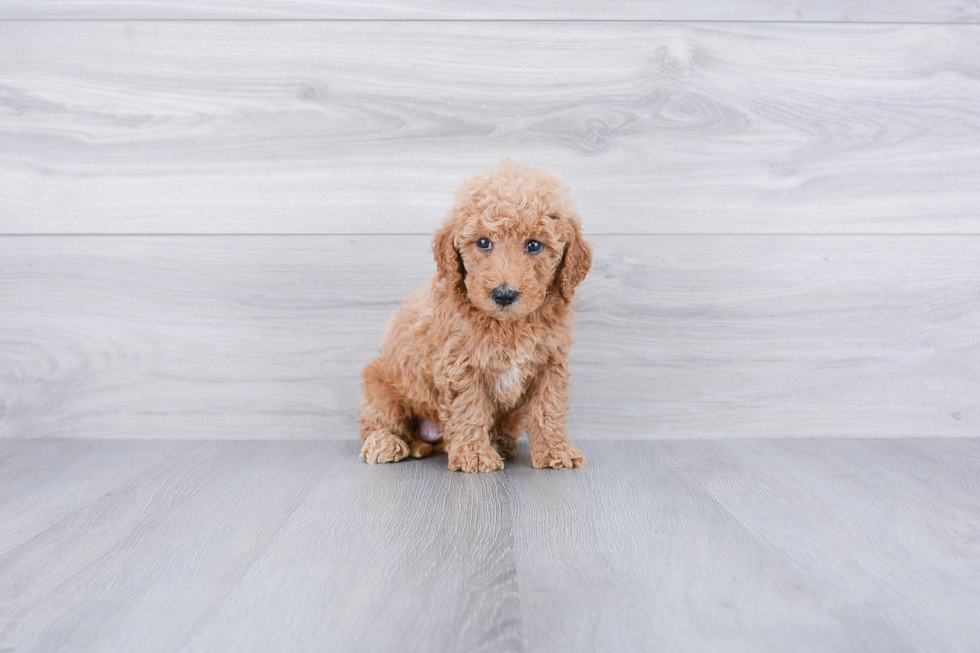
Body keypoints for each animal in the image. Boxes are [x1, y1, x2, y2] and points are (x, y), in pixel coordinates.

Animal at [358, 159, 588, 474]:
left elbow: (548, 408)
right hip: (381, 384)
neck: (508, 325)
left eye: (534, 245)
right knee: (378, 421)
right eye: (483, 243)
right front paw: (475, 455)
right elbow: (469, 408)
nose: (504, 294)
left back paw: (499, 441)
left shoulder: (550, 364)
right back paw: (386, 443)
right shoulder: (461, 365)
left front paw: (556, 450)